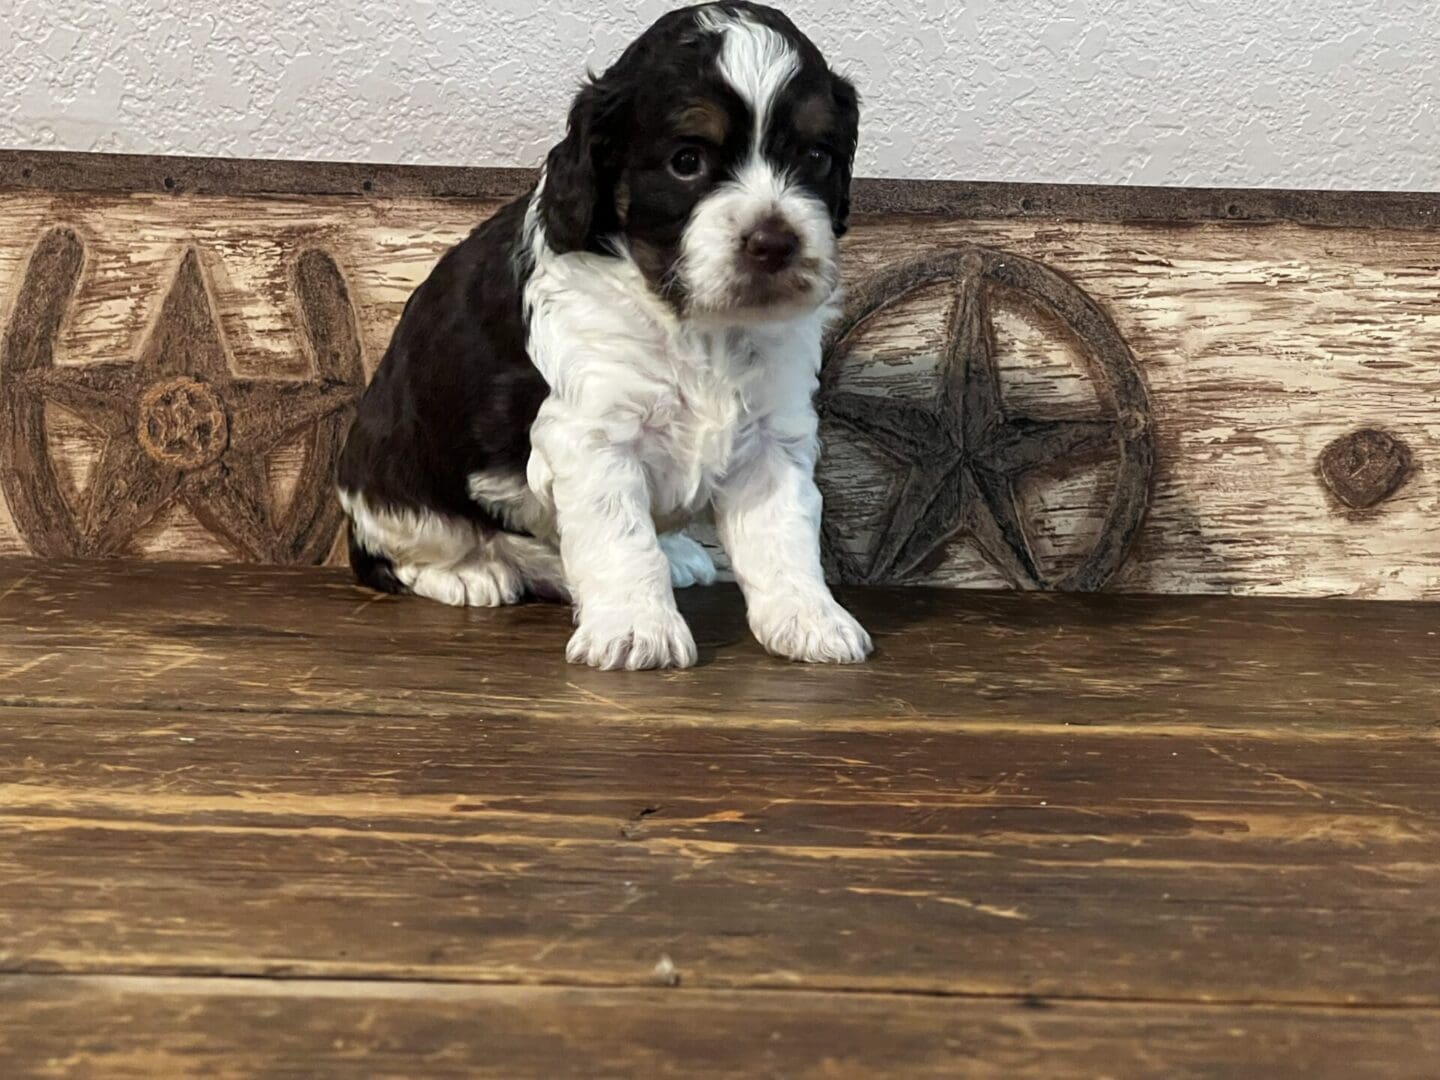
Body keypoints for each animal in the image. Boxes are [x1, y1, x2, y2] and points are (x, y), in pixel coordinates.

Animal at [336, 4, 869, 673]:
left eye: (818, 156)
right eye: (687, 162)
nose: (774, 243)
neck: (698, 325)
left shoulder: (775, 433)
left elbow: (785, 531)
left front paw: (810, 619)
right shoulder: (591, 431)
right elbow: (619, 535)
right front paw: (637, 630)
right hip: (398, 488)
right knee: (399, 554)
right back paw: (476, 572)